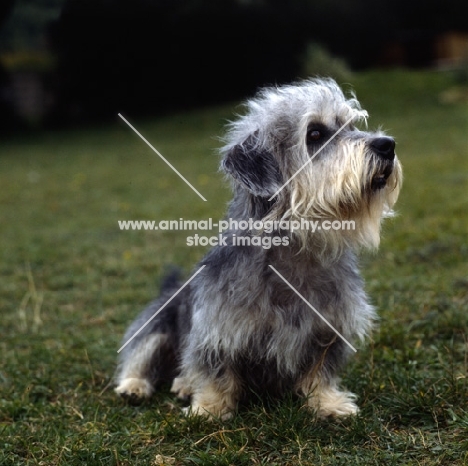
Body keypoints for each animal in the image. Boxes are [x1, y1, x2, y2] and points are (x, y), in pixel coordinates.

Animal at [114, 78, 402, 420]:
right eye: (315, 134)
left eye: (352, 125)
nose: (387, 144)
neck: (296, 253)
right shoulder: (216, 329)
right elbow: (215, 371)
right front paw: (209, 409)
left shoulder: (329, 328)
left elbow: (320, 371)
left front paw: (327, 403)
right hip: (155, 326)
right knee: (140, 359)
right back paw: (137, 386)